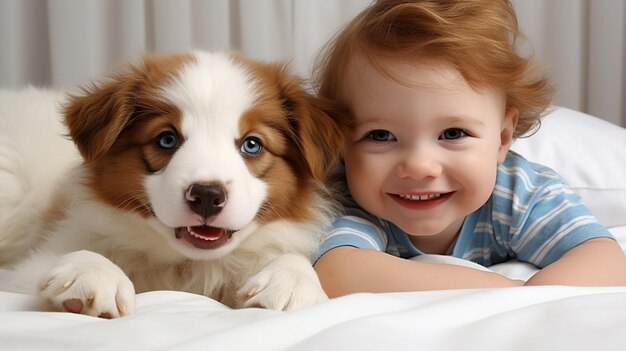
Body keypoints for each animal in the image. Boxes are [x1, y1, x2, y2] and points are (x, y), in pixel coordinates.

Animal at [0, 51, 344, 318]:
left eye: (252, 145)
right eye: (167, 140)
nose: (206, 195)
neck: (187, 267)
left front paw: (291, 279)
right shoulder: (31, 264)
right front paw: (92, 273)